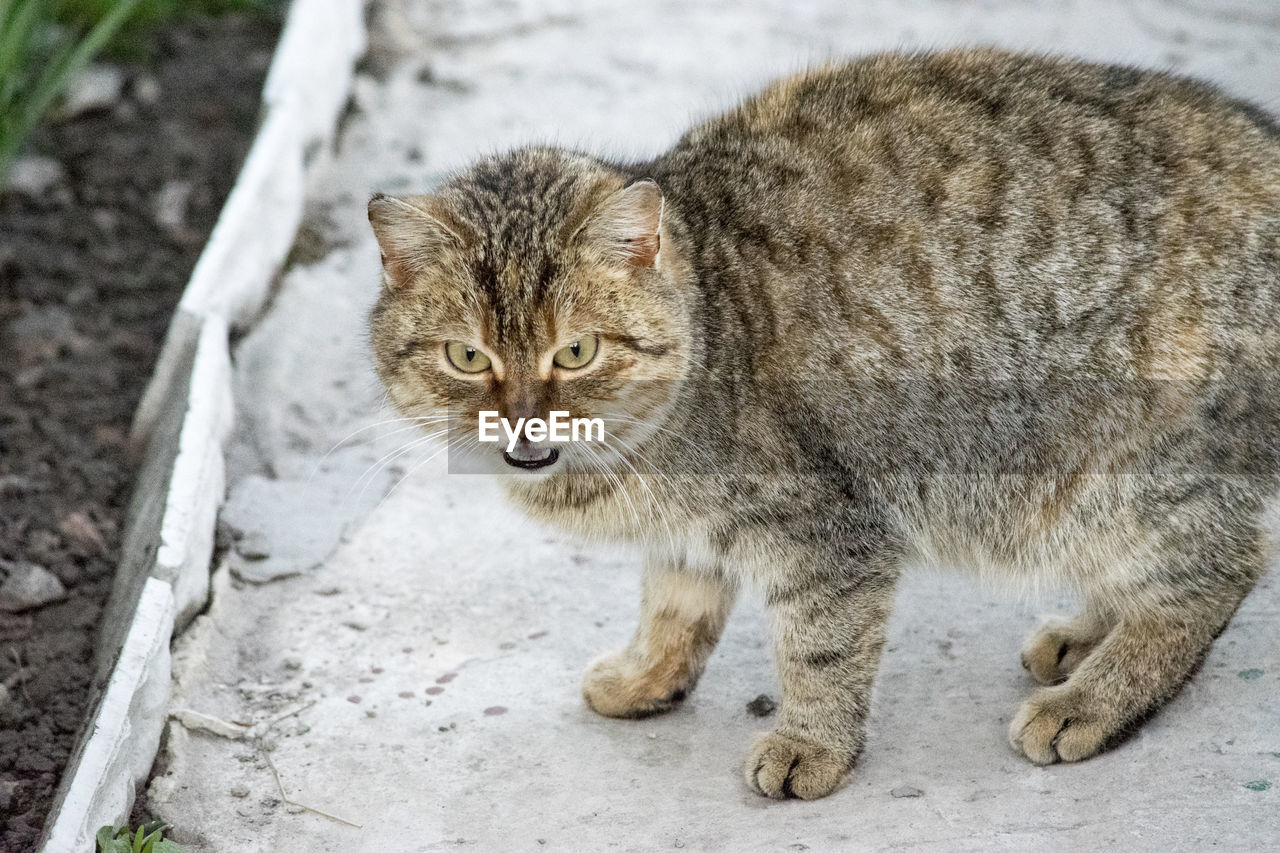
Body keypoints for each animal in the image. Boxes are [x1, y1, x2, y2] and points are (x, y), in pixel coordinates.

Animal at [366, 48, 1274, 799]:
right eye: (468, 357)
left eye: (578, 350)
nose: (522, 427)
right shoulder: (692, 535)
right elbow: (672, 604)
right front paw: (647, 677)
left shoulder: (826, 530)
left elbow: (820, 646)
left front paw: (811, 745)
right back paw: (1087, 635)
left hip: (1121, 473)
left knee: (1216, 572)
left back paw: (1094, 697)